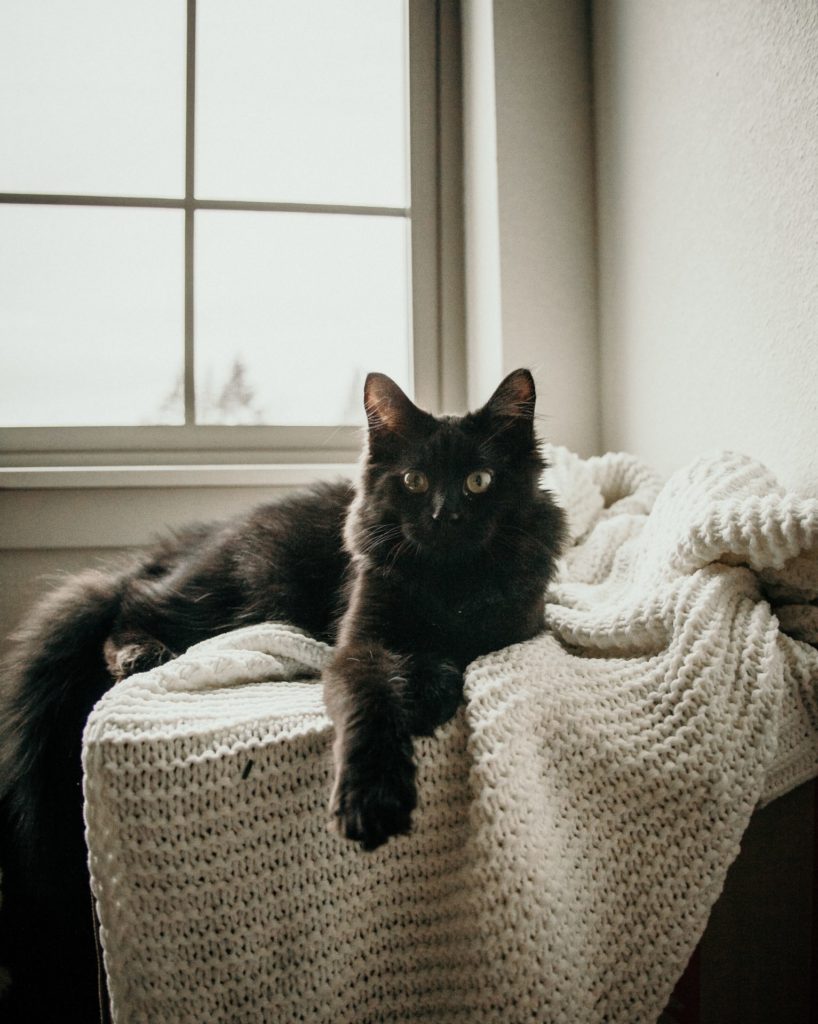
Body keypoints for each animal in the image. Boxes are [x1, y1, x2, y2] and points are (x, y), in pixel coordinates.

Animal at [0, 366, 565, 1015]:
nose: (444, 516)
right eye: (414, 481)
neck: (446, 579)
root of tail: (192, 542)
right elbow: (372, 707)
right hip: (234, 591)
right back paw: (141, 652)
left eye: (479, 481)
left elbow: (461, 653)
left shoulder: (513, 628)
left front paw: (427, 687)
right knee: (129, 602)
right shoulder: (358, 646)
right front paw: (371, 798)